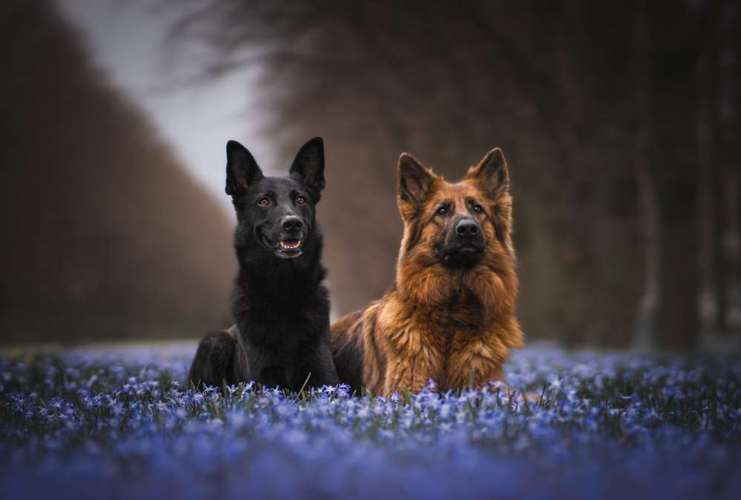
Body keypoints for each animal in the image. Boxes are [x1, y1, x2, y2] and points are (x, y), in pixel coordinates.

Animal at [188, 137, 338, 390]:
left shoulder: (325, 378)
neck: (283, 288)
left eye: (301, 199)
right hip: (216, 340)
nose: (292, 223)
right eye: (264, 201)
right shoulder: (265, 380)